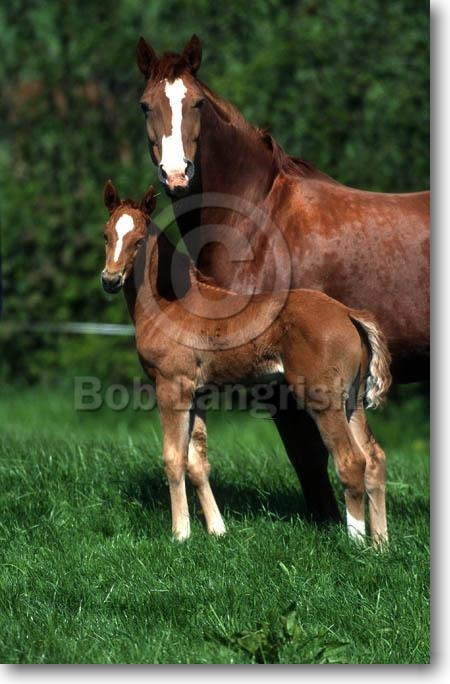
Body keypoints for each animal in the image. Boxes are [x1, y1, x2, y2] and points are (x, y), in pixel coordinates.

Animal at [100, 180, 391, 544]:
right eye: (106, 235)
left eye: (139, 241)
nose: (110, 280)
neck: (172, 302)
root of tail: (347, 313)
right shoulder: (198, 394)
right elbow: (197, 462)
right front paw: (217, 530)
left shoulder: (171, 386)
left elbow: (173, 458)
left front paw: (180, 533)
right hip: (352, 399)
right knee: (375, 458)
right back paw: (381, 543)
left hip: (323, 398)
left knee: (352, 461)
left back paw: (356, 543)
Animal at [135, 35, 429, 523]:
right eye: (145, 105)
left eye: (197, 103)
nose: (176, 175)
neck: (258, 220)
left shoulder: (282, 379)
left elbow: (309, 456)